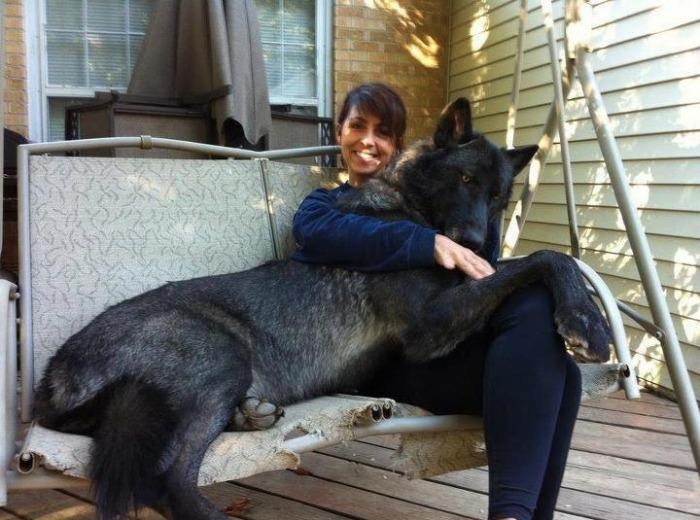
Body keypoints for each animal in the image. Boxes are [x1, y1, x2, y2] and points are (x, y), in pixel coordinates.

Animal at [35, 97, 611, 520]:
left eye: (498, 198)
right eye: (466, 180)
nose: (472, 244)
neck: (408, 209)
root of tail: (53, 377)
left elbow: (535, 262)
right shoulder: (429, 325)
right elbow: (545, 257)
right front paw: (588, 321)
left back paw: (251, 413)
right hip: (221, 359)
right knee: (167, 479)